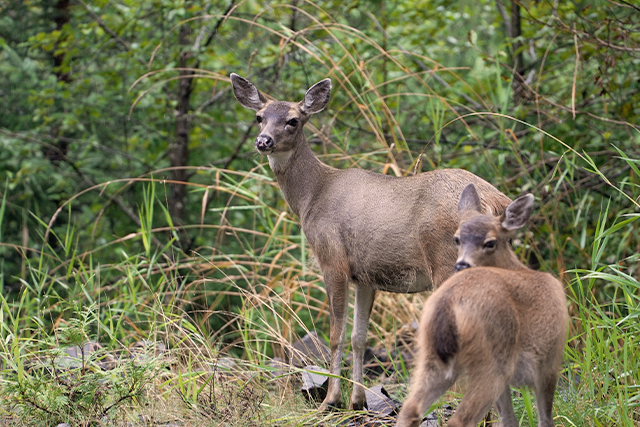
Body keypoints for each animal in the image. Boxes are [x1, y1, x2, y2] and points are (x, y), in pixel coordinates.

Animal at [229, 74, 512, 411]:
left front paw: (330, 400)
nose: (264, 141)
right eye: (260, 117)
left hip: (446, 260)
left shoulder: (333, 259)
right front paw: (357, 400)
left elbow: (335, 334)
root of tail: (494, 200)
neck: (313, 195)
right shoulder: (365, 275)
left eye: (293, 120)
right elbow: (358, 337)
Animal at [395, 183, 568, 427]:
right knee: (459, 420)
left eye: (490, 242)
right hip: (491, 360)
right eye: (457, 239)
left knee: (410, 409)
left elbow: (508, 419)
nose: (461, 265)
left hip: (431, 357)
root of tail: (448, 306)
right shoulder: (549, 360)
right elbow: (545, 418)